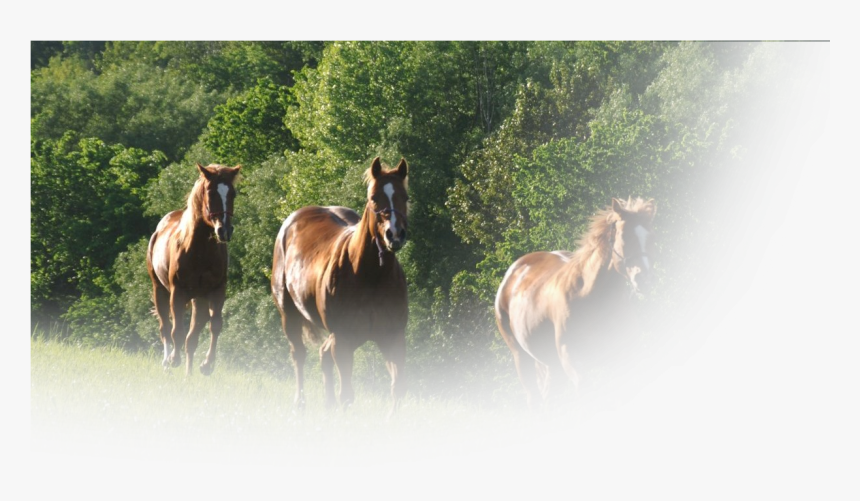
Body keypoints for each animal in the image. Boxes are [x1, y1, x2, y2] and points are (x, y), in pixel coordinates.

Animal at [146, 163, 241, 376]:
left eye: (232, 193)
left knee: (192, 337)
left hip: (199, 299)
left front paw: (207, 364)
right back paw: (167, 362)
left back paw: (188, 374)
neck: (199, 251)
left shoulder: (216, 292)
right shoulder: (178, 292)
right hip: (160, 290)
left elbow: (215, 326)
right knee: (165, 327)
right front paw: (174, 358)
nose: (224, 231)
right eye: (211, 192)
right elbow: (176, 331)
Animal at [271, 157, 409, 416]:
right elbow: (347, 395)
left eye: (404, 197)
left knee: (324, 354)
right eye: (374, 197)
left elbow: (397, 388)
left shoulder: (393, 338)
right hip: (289, 314)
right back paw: (300, 402)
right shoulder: (343, 339)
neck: (370, 276)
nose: (394, 234)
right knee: (299, 355)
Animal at [494, 197, 656, 410]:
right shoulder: (573, 362)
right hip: (521, 358)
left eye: (651, 237)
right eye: (625, 236)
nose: (644, 279)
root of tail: (513, 271)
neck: (592, 299)